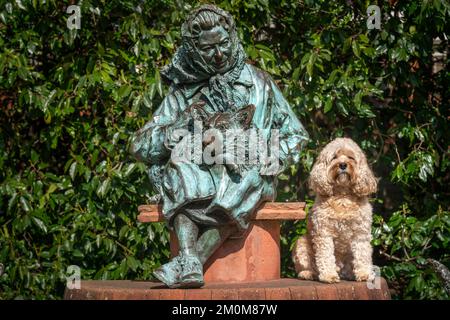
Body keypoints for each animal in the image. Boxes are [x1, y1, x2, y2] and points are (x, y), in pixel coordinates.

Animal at [294, 138, 378, 282]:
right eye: (334, 157)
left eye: (351, 157)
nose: (343, 164)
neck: (342, 196)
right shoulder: (323, 232)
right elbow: (325, 255)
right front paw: (328, 275)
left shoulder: (361, 232)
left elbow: (362, 253)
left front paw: (364, 273)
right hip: (301, 243)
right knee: (308, 266)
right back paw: (309, 274)